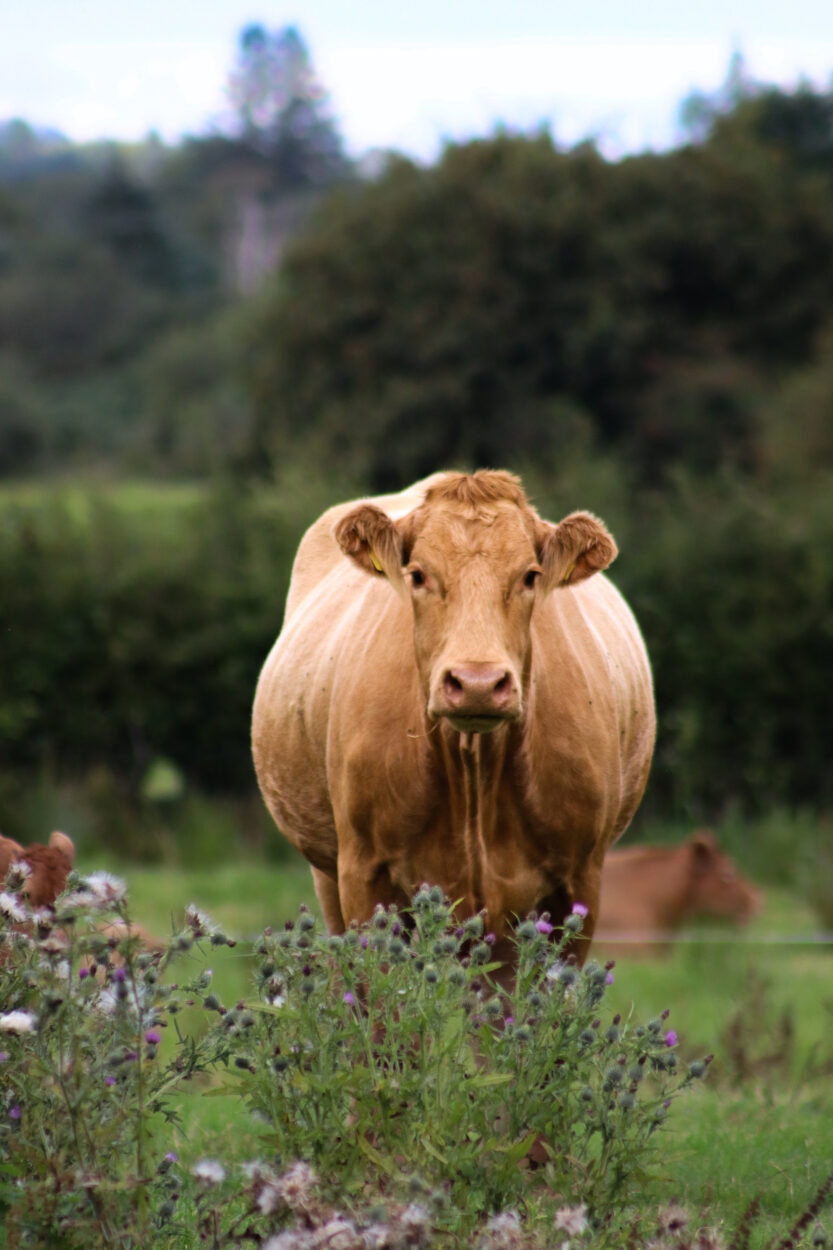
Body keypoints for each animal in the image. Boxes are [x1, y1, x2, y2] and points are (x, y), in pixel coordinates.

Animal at [252, 470, 655, 973]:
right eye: (418, 575)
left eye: (530, 575)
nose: (477, 682)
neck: (473, 769)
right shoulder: (362, 874)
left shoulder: (580, 882)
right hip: (328, 875)